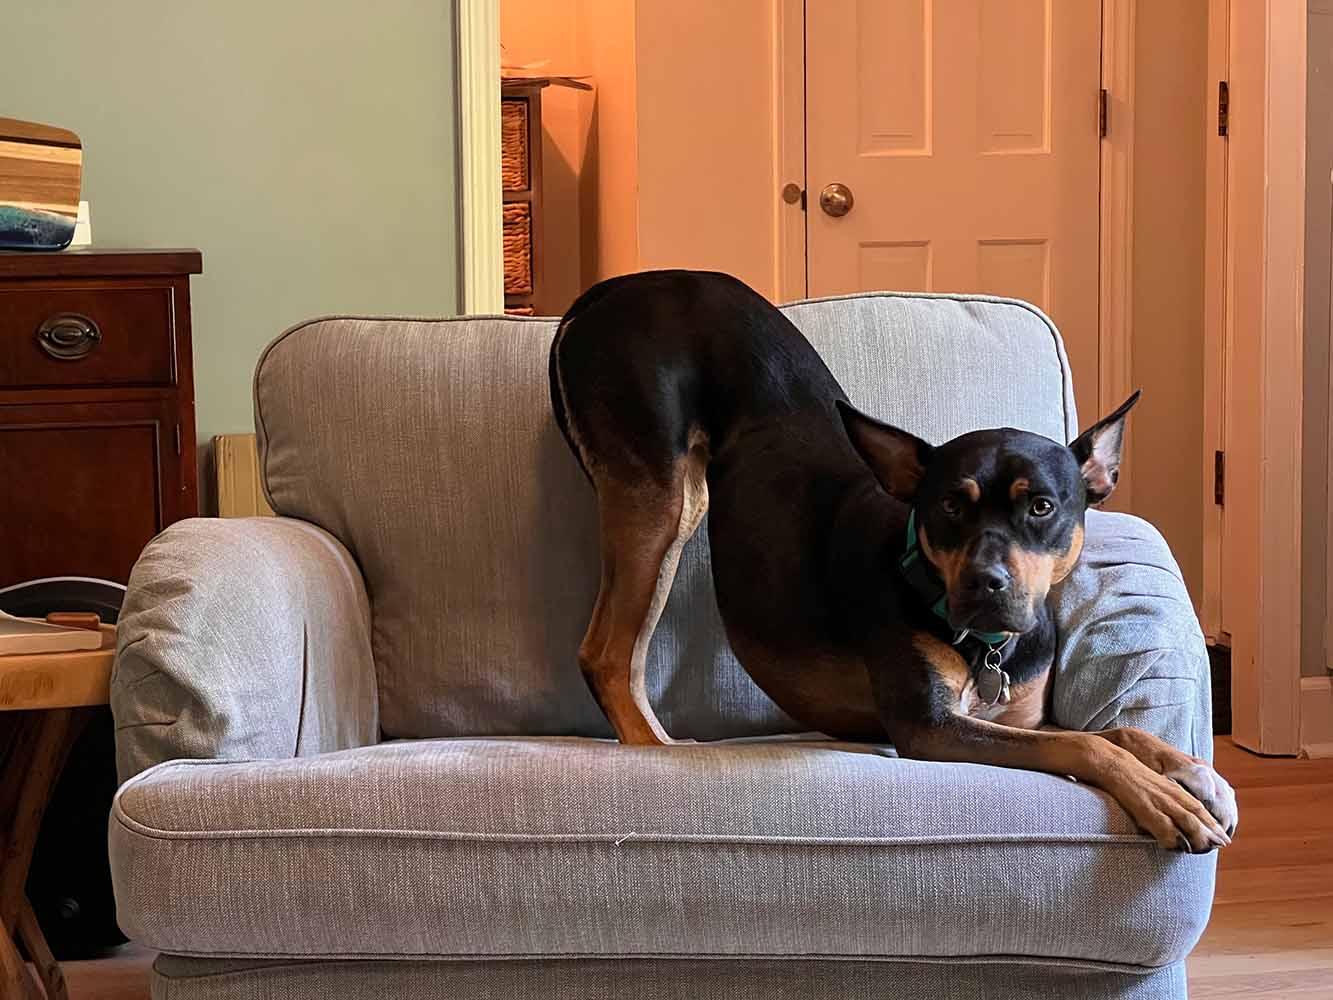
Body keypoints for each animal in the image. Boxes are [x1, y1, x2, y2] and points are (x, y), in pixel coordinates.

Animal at [551, 268, 1237, 853]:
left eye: (1041, 507)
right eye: (949, 507)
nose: (986, 583)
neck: (983, 643)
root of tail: (617, 287)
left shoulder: (1018, 717)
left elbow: (1114, 731)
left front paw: (1193, 771)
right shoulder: (931, 728)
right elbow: (1086, 747)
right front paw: (1162, 797)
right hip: (659, 490)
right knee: (607, 654)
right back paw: (655, 749)